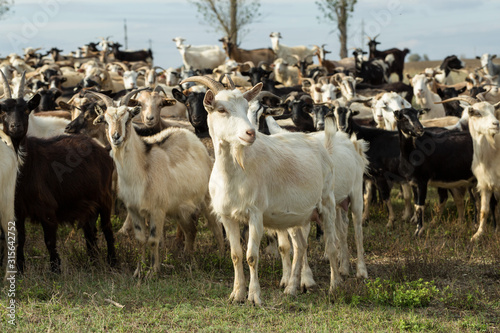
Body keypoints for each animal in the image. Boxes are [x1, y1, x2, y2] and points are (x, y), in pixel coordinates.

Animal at [89, 87, 224, 276]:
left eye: (128, 118)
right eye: (105, 121)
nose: (116, 137)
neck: (142, 168)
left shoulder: (158, 210)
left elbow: (153, 239)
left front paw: (153, 272)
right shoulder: (134, 210)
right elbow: (140, 239)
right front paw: (139, 270)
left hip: (206, 199)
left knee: (216, 228)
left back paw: (221, 257)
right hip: (180, 207)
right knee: (191, 230)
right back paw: (188, 259)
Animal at [182, 74, 342, 304]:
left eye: (245, 106)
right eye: (221, 109)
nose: (250, 133)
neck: (235, 171)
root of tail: (320, 145)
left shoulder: (255, 214)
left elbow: (251, 256)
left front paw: (254, 296)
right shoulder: (227, 217)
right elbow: (236, 255)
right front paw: (236, 295)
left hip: (326, 204)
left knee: (331, 245)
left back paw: (334, 287)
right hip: (296, 215)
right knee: (300, 246)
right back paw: (291, 288)